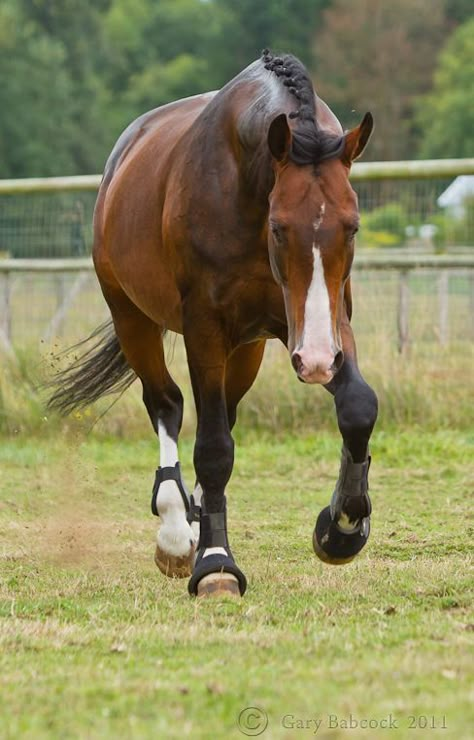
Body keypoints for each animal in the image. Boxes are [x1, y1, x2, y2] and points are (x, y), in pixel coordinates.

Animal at [49, 50, 378, 596]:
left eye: (351, 226)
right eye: (278, 227)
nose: (313, 363)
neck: (244, 181)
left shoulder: (326, 322)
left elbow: (357, 407)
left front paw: (342, 529)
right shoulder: (205, 325)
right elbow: (213, 447)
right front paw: (216, 562)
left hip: (248, 347)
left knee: (222, 408)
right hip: (133, 318)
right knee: (168, 404)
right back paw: (175, 529)